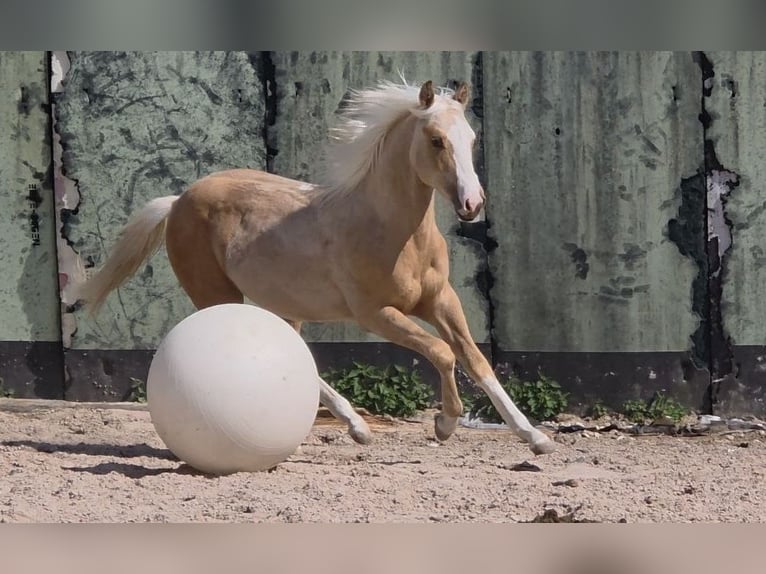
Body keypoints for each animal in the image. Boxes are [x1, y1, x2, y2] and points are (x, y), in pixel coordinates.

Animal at [78, 79, 555, 456]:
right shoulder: (376, 314)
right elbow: (441, 352)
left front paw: (536, 438)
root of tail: (178, 200)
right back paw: (360, 428)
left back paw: (358, 427)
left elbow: (476, 360)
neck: (393, 233)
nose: (473, 205)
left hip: (281, 305)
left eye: (471, 139)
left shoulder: (442, 301)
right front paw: (445, 424)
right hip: (215, 296)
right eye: (436, 140)